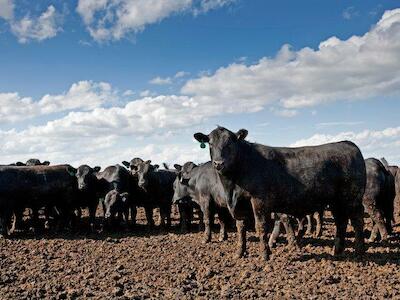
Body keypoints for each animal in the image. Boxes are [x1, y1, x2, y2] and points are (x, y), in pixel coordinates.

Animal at [195, 126, 368, 260]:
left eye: (230, 143)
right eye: (210, 143)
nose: (218, 163)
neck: (232, 185)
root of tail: (348, 143)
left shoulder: (259, 200)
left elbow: (261, 226)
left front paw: (265, 255)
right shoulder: (239, 204)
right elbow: (241, 227)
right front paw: (239, 253)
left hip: (352, 198)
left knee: (357, 220)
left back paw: (359, 252)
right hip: (336, 201)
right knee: (341, 222)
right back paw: (337, 251)